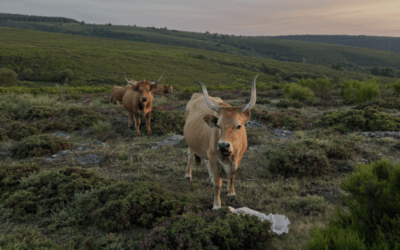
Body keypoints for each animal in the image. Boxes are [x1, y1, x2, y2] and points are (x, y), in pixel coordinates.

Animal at [183, 75, 258, 210]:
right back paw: (188, 175)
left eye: (238, 126)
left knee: (205, 160)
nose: (223, 145)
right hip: (191, 141)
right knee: (190, 155)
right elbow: (218, 183)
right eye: (218, 125)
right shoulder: (213, 157)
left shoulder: (237, 158)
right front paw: (217, 205)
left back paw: (210, 178)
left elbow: (232, 175)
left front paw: (231, 194)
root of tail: (196, 95)